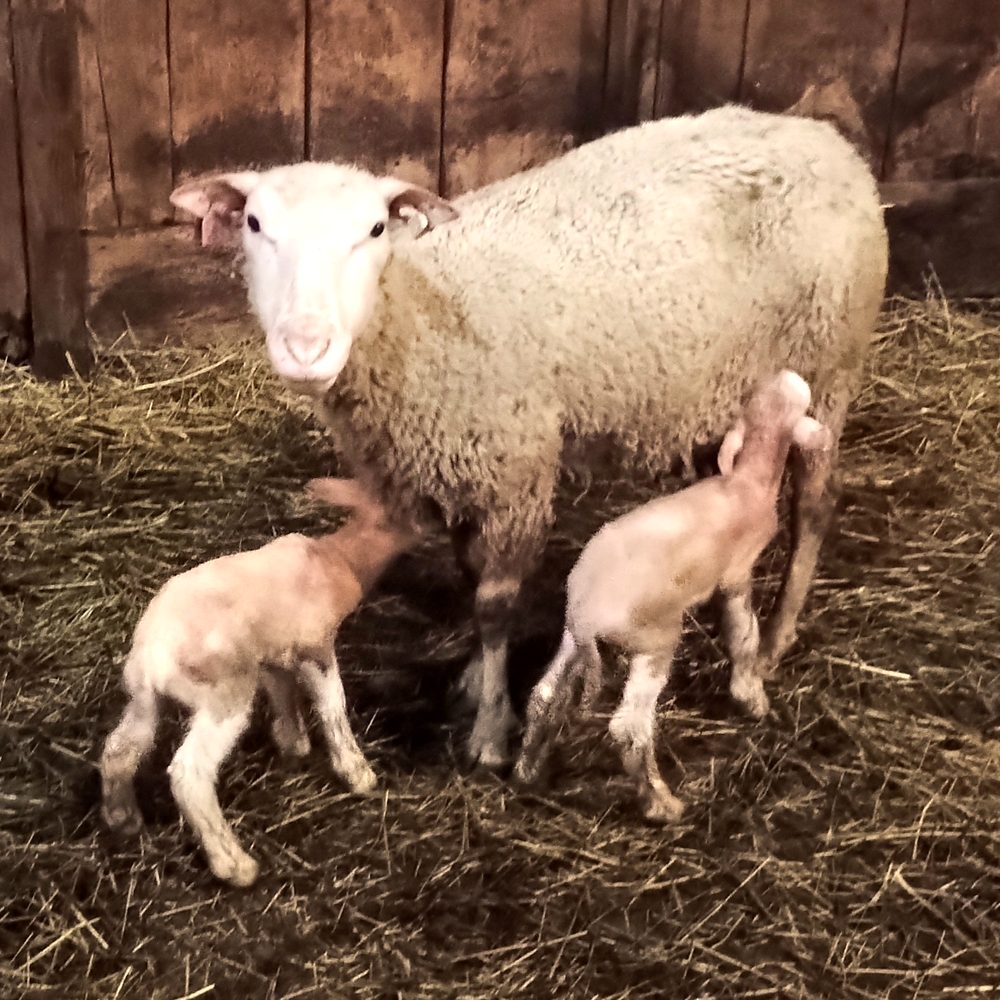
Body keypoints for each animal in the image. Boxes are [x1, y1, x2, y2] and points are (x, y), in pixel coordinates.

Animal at [99, 478, 416, 887]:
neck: (339, 557)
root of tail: (154, 653)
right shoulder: (314, 645)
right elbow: (332, 704)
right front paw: (357, 772)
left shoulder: (273, 656)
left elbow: (283, 693)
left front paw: (294, 742)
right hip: (224, 696)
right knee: (189, 774)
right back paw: (234, 865)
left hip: (144, 698)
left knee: (120, 749)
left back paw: (122, 819)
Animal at [169, 104, 888, 769]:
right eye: (255, 225)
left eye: (374, 230)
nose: (306, 347)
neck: (423, 313)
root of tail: (821, 135)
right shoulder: (466, 468)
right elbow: (470, 577)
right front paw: (471, 677)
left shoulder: (515, 471)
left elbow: (494, 604)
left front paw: (490, 730)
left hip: (831, 364)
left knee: (816, 502)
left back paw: (775, 642)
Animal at [513, 370, 833, 820]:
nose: (791, 376)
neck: (745, 480)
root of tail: (584, 612)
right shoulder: (737, 573)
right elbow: (744, 633)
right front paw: (751, 695)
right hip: (655, 641)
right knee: (628, 726)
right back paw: (662, 804)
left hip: (572, 640)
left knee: (543, 695)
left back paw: (527, 771)